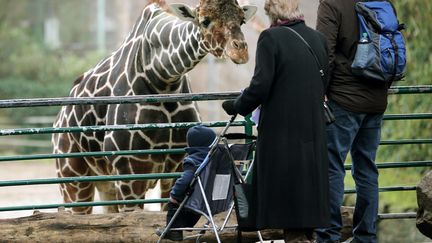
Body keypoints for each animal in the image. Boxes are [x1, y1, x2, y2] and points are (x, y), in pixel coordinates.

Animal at [52, 0, 258, 214]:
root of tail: (58, 120)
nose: (241, 51)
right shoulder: (130, 170)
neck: (162, 78)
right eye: (205, 21)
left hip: (105, 183)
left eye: (241, 20)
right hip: (74, 179)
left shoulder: (177, 164)